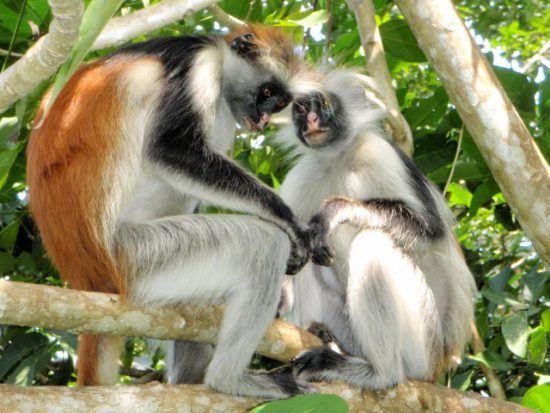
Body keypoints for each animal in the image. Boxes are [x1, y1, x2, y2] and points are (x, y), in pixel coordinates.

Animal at [280, 71, 478, 390]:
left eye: (324, 104)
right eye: (300, 109)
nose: (310, 120)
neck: (338, 158)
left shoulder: (380, 152)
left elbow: (431, 231)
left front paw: (336, 210)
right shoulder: (300, 178)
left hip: (423, 343)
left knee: (372, 242)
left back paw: (380, 373)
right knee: (308, 254)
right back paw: (323, 336)